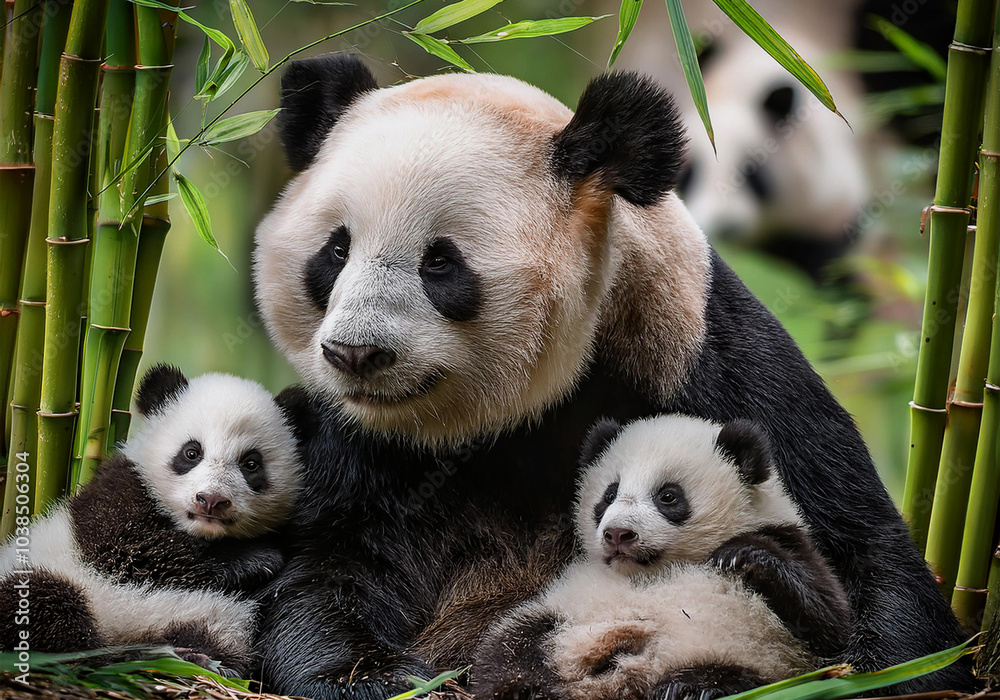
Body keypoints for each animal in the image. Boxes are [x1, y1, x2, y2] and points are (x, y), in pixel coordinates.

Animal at [0, 365, 303, 676]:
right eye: (191, 452)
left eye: (251, 464)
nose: (211, 500)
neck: (198, 532)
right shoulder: (117, 493)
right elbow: (134, 552)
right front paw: (257, 559)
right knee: (45, 603)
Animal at [472, 415, 851, 700]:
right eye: (609, 494)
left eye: (668, 496)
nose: (618, 534)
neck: (654, 570)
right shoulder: (574, 586)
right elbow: (502, 647)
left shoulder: (789, 539)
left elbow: (829, 624)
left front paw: (742, 555)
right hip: (560, 624)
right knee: (517, 644)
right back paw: (524, 689)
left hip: (755, 660)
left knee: (742, 678)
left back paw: (691, 687)